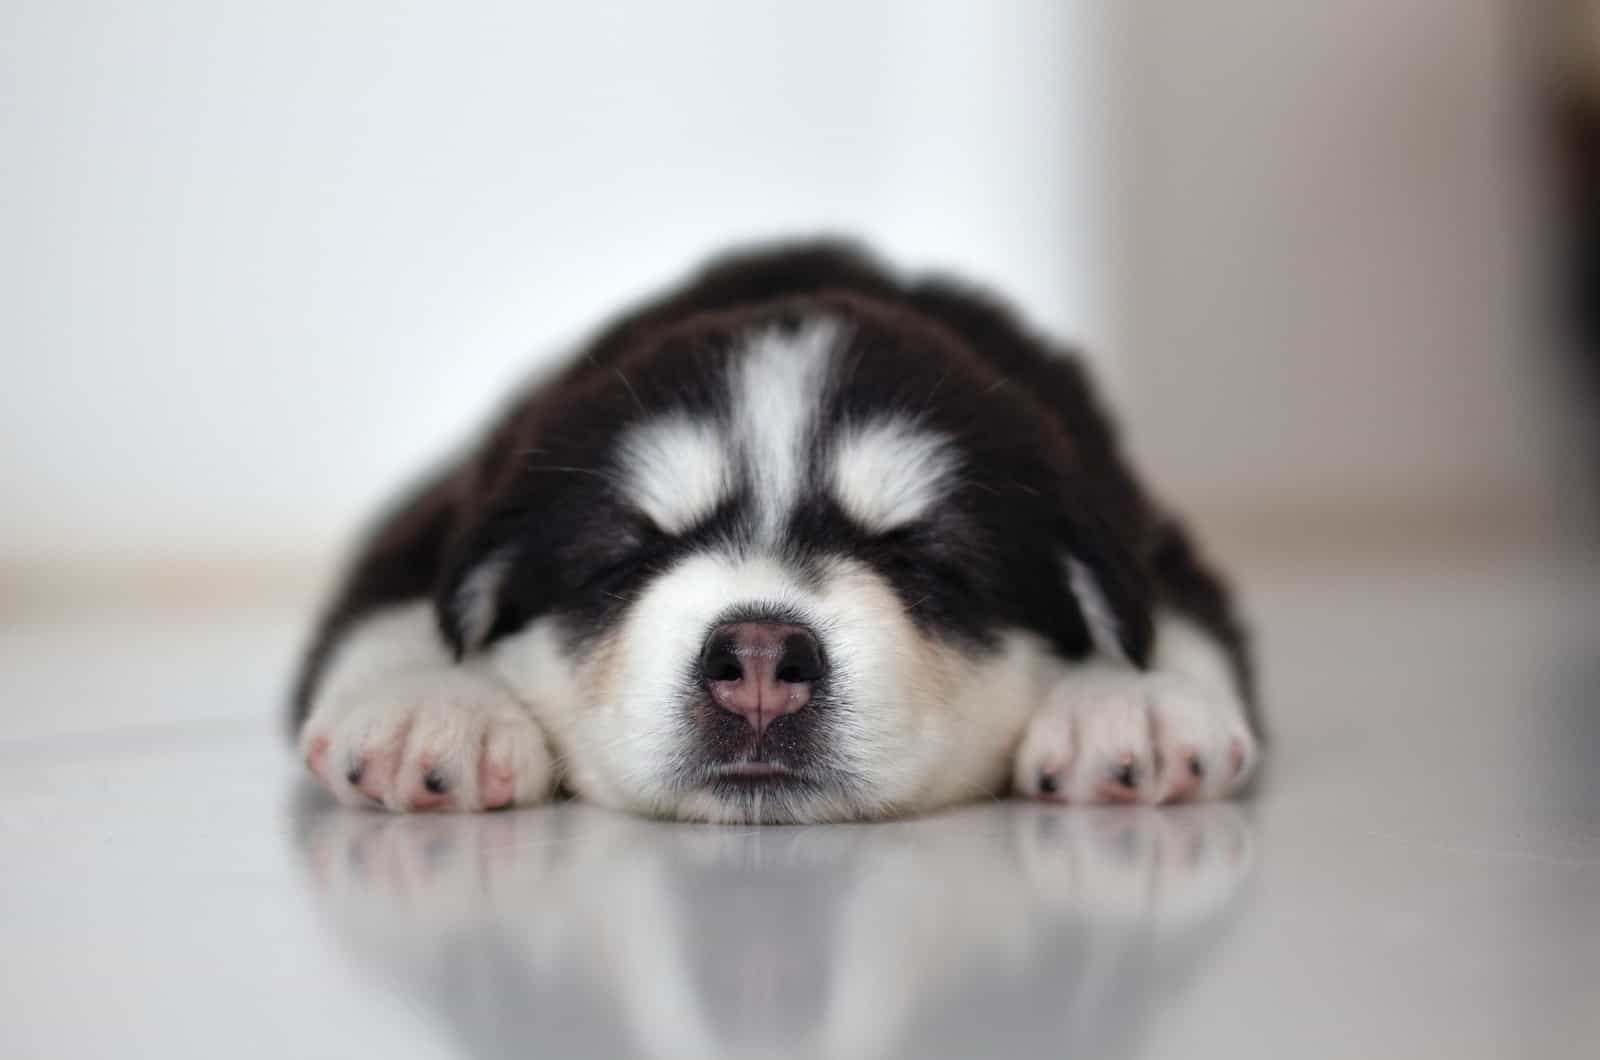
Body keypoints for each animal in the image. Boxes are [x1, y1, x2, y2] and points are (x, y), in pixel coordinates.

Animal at [291, 240, 1260, 819]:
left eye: (921, 558)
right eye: (630, 554)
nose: (759, 661)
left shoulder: (1136, 517)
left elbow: (1174, 613)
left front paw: (1135, 704)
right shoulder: (440, 516)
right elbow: (394, 604)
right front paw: (430, 706)